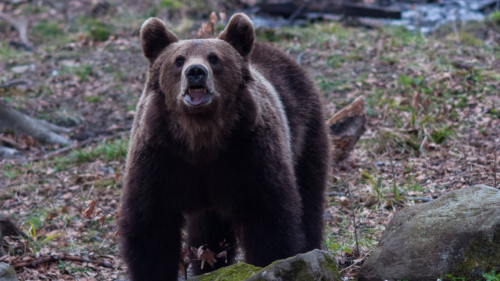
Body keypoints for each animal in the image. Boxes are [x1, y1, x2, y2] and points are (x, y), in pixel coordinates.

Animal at [118, 12, 330, 278]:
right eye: (178, 60)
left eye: (214, 58)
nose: (195, 72)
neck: (202, 139)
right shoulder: (160, 157)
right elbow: (150, 224)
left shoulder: (249, 153)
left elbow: (269, 216)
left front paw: (272, 262)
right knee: (207, 232)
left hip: (305, 133)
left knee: (309, 196)